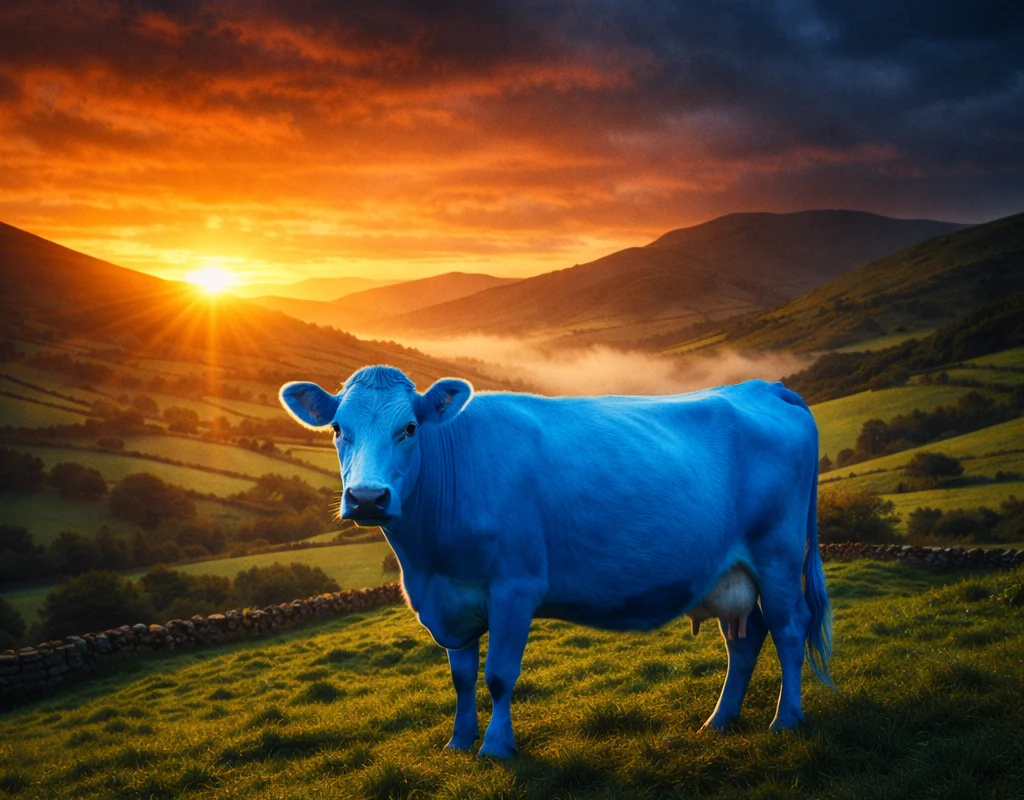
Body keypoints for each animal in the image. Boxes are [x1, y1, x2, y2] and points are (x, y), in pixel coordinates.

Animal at [279, 365, 833, 758]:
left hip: (778, 554)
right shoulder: (451, 600)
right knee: (745, 640)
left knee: (788, 628)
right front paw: (458, 742)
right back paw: (719, 721)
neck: (427, 562)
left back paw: (786, 720)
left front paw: (495, 747)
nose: (367, 498)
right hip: (729, 574)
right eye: (337, 429)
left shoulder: (514, 587)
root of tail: (764, 387)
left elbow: (498, 674)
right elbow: (461, 677)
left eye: (410, 427)